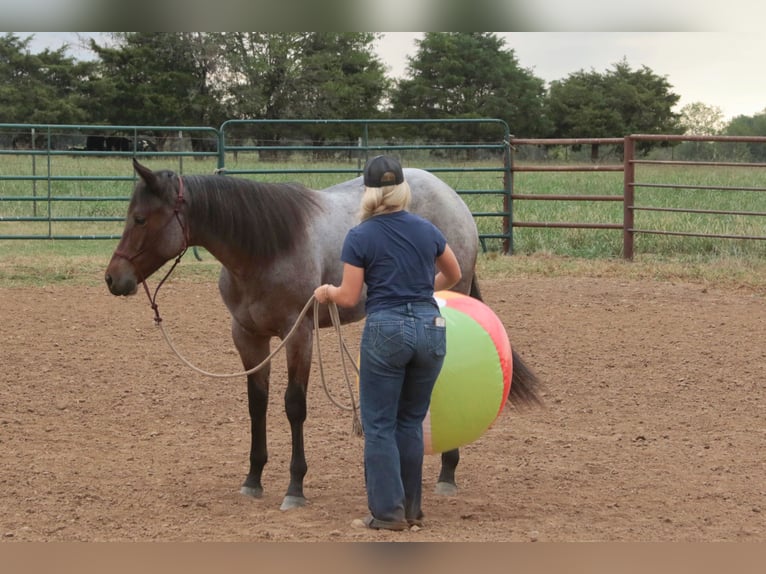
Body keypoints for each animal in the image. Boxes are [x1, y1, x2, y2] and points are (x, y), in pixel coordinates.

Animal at [105, 158, 542, 511]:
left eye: (140, 219)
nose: (113, 278)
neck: (262, 250)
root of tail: (454, 198)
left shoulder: (298, 334)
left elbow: (294, 406)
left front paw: (295, 487)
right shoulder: (248, 337)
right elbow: (257, 405)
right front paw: (253, 479)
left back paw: (447, 471)